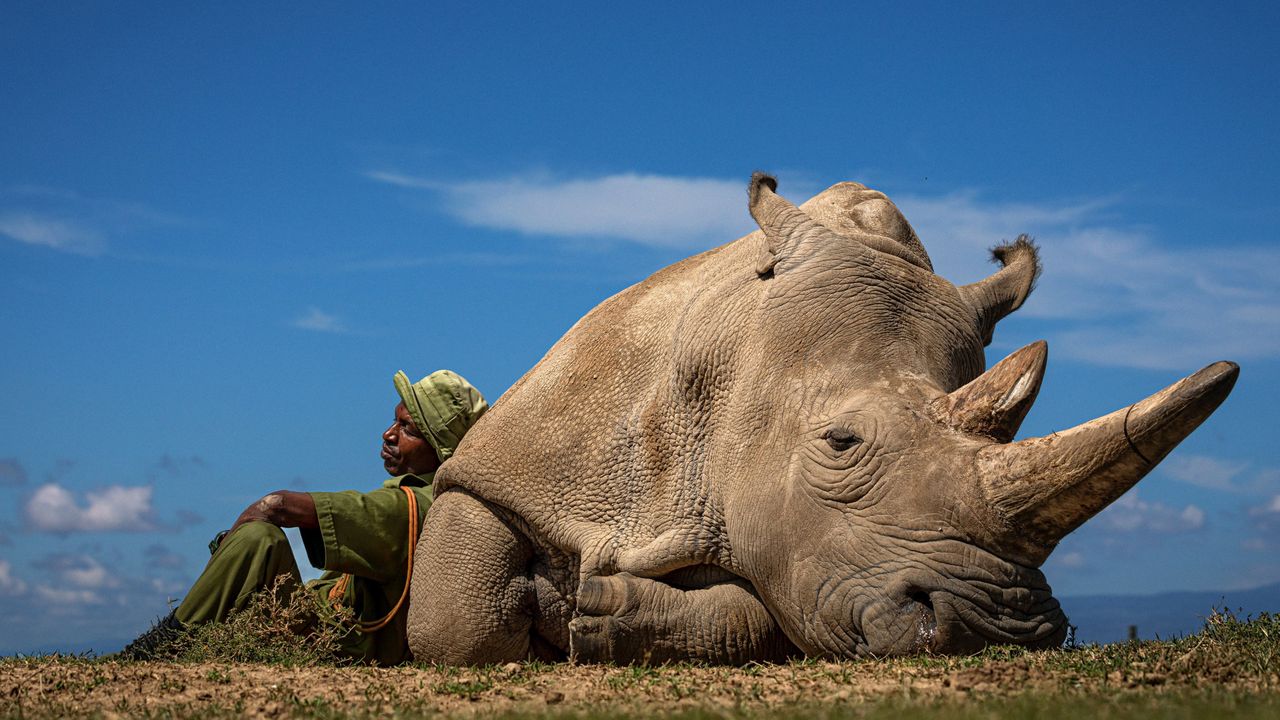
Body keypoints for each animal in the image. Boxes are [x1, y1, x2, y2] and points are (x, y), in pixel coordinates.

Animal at [404, 174, 1233, 661]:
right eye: (841, 442)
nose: (1001, 628)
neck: (732, 364)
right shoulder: (515, 461)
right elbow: (457, 621)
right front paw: (548, 612)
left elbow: (761, 610)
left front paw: (594, 613)